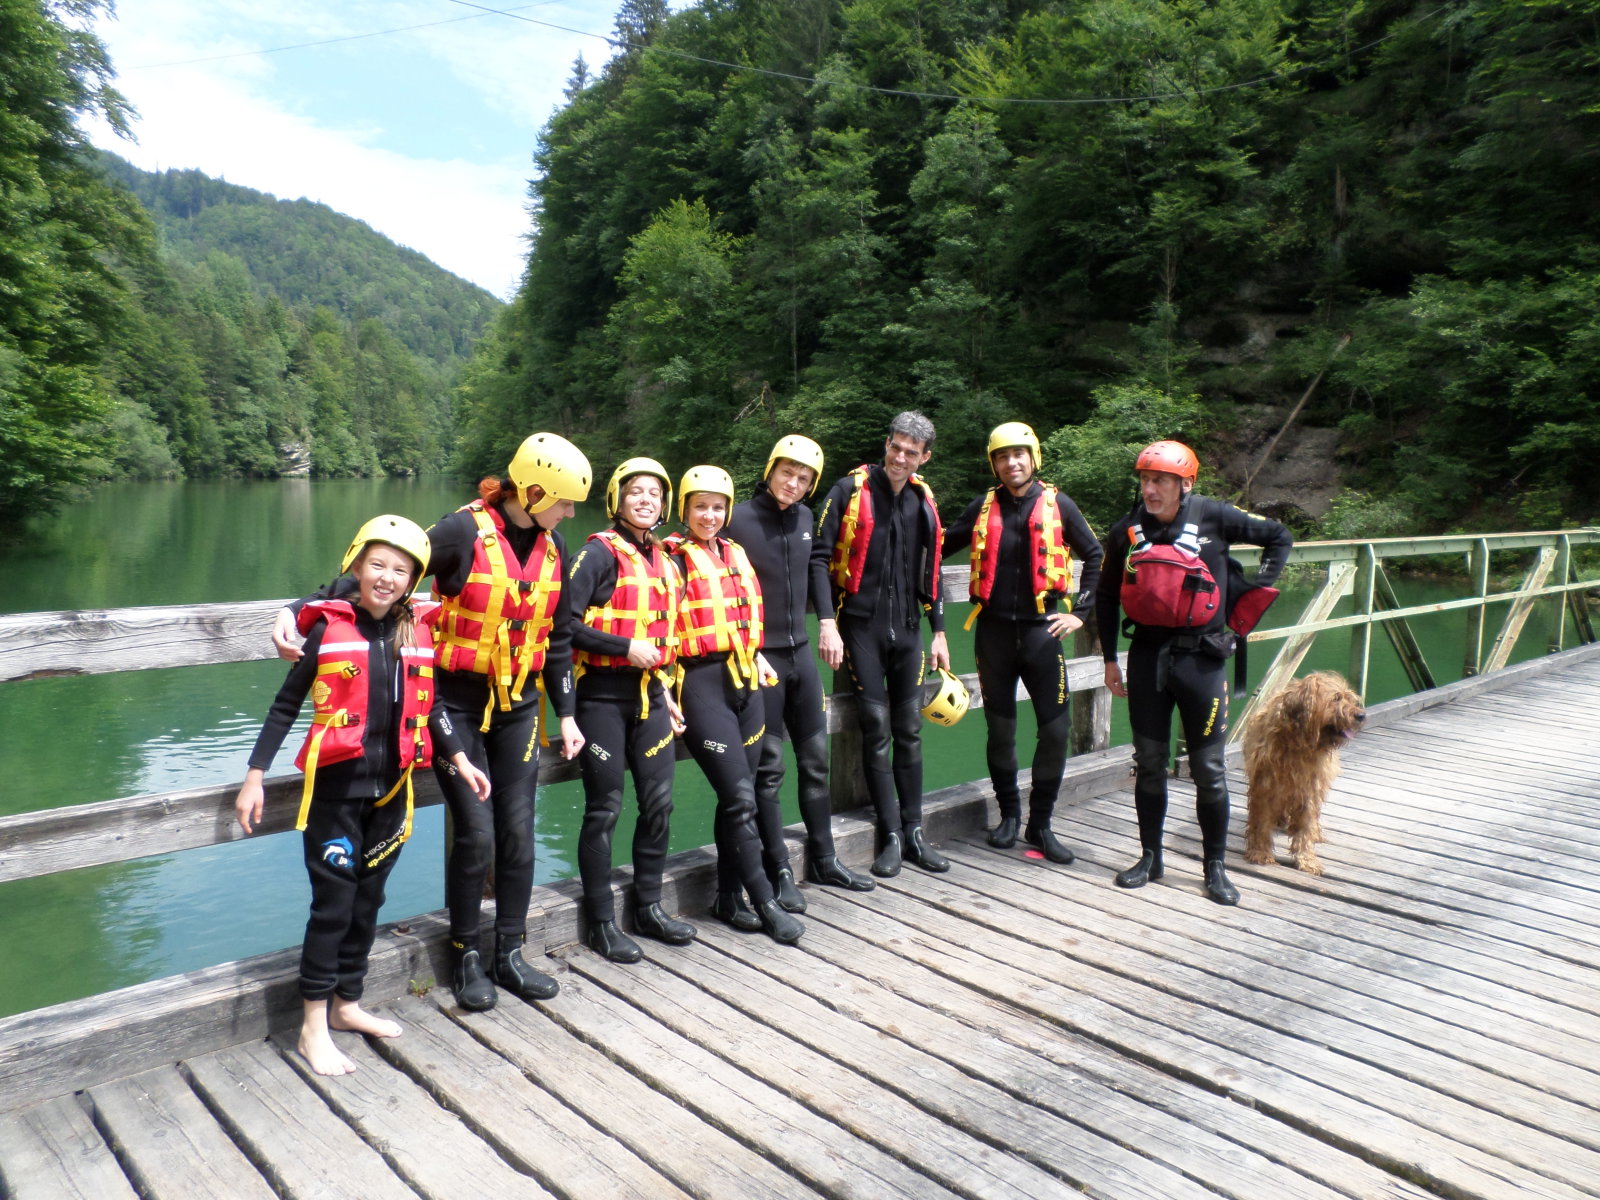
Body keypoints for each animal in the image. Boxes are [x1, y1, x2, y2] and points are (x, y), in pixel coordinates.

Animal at [1235, 672, 1363, 876]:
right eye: (1336, 698)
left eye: (1350, 699)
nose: (1361, 715)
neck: (1299, 743)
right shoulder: (1265, 786)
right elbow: (1261, 823)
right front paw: (1260, 853)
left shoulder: (1309, 789)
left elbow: (1305, 826)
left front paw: (1307, 859)